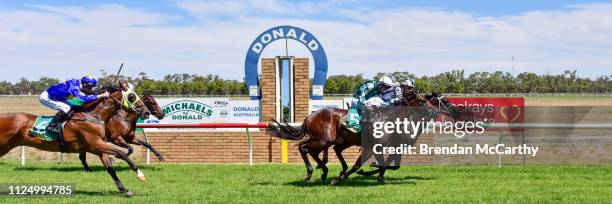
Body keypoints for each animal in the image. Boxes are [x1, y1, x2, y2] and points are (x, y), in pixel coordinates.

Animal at [0, 84, 151, 196]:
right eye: (132, 96)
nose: (146, 113)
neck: (92, 116)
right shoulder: (97, 143)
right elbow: (122, 153)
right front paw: (140, 174)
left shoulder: (97, 148)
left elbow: (111, 169)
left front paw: (125, 190)